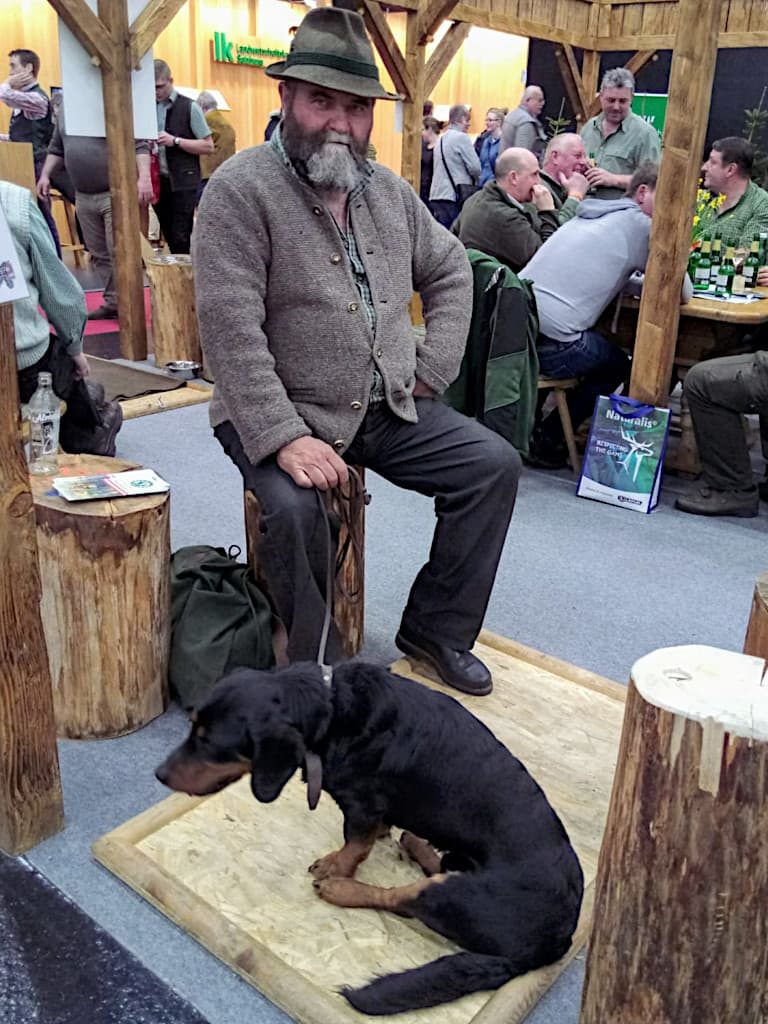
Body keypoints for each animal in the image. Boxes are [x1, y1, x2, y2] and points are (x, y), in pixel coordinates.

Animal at [156, 663, 581, 1015]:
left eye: (209, 742)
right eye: (192, 727)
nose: (159, 774)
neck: (331, 712)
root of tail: (554, 945)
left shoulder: (361, 805)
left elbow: (355, 846)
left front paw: (335, 868)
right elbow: (371, 836)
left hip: (456, 894)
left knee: (398, 899)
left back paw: (342, 888)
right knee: (435, 868)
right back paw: (418, 845)